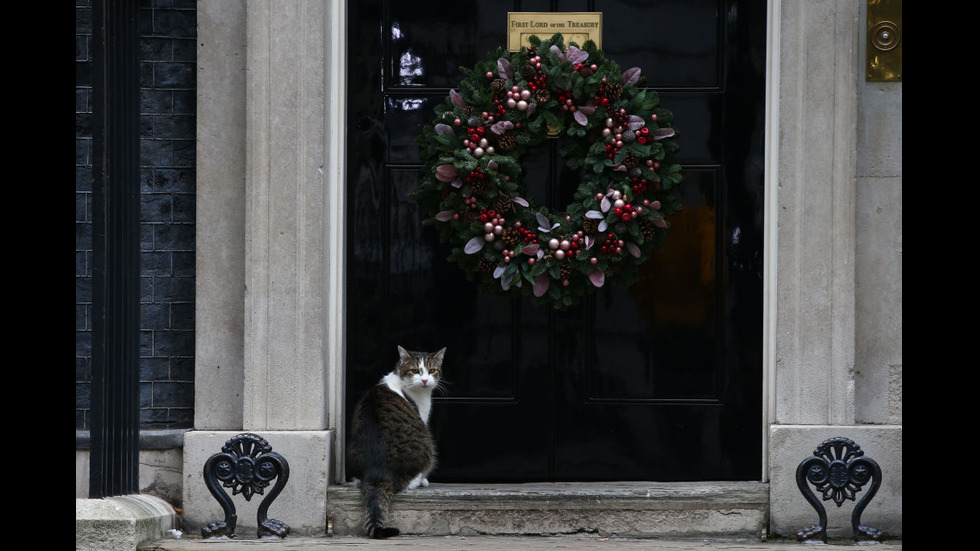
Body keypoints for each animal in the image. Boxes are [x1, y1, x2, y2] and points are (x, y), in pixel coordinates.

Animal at [346, 344, 446, 540]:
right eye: (415, 371)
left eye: (432, 370)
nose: (425, 380)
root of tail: (377, 474)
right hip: (427, 447)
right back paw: (420, 480)